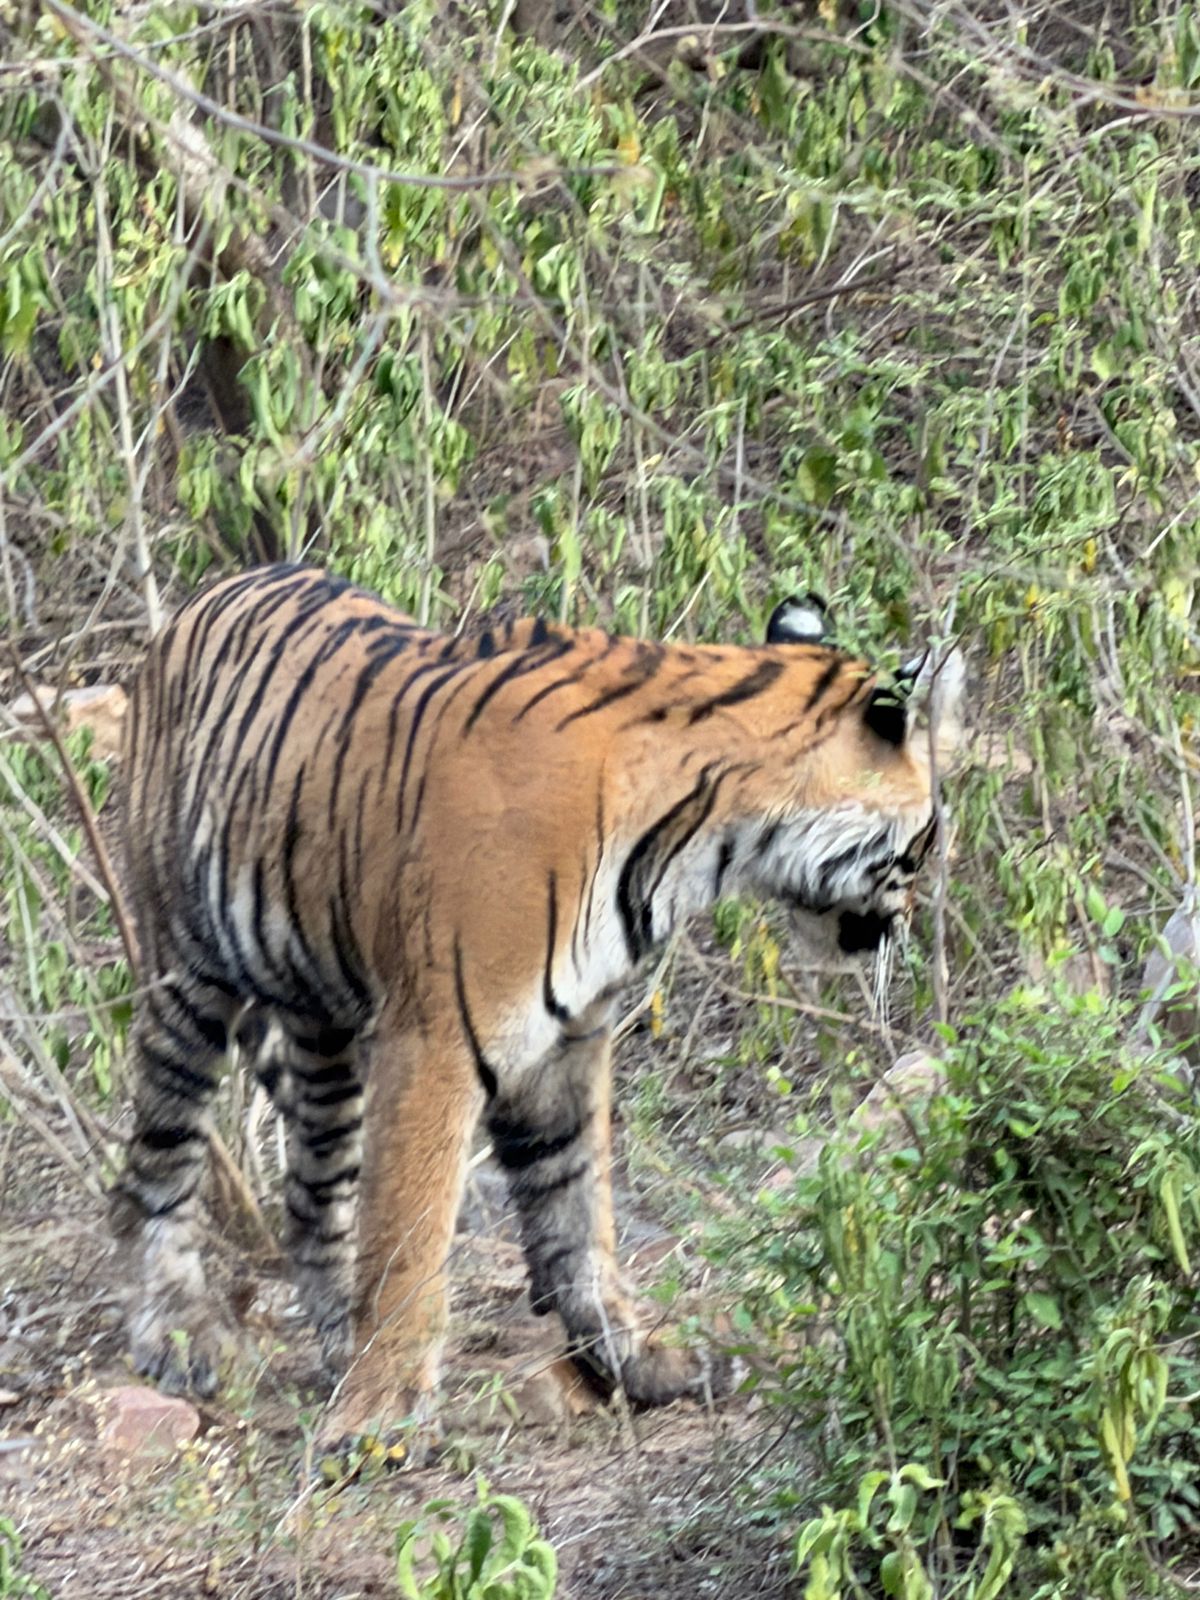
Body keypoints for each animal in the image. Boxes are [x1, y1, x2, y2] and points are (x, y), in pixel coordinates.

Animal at [111, 563, 965, 1443]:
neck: (702, 839)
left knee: (317, 1187)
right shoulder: (436, 1039)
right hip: (186, 974)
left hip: (321, 1022)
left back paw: (336, 1337)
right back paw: (180, 1335)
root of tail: (204, 598)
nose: (910, 919)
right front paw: (379, 1415)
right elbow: (411, 1231)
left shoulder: (568, 1038)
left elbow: (576, 1206)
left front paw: (637, 1358)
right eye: (928, 836)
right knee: (157, 1161)